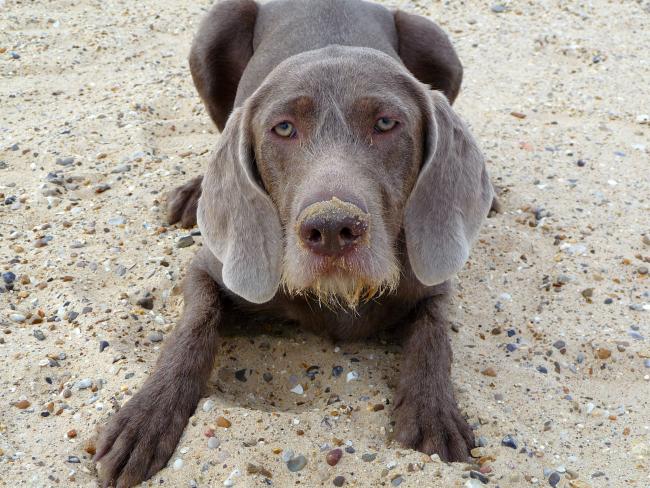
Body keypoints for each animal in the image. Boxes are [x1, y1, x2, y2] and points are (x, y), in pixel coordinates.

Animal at [95, 0, 492, 484]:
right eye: (283, 129)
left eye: (385, 123)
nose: (332, 230)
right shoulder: (211, 269)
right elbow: (193, 329)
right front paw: (146, 416)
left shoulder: (431, 281)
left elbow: (434, 337)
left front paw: (433, 413)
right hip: (215, 30)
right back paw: (195, 191)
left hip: (438, 45)